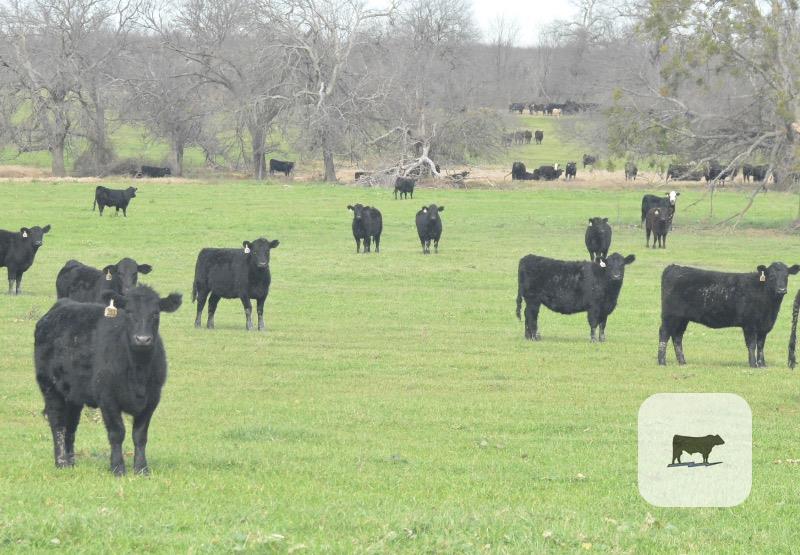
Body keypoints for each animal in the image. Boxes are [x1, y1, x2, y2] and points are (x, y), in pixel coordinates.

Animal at [34, 286, 182, 474]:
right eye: (129, 312)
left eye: (155, 314)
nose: (142, 339)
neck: (138, 372)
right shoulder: (108, 399)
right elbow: (117, 433)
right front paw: (118, 467)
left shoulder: (152, 399)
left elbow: (140, 436)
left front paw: (142, 469)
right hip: (50, 387)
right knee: (58, 423)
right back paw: (61, 462)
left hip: (73, 393)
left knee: (71, 426)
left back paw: (71, 461)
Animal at [658, 262, 800, 367]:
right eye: (771, 276)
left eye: (786, 276)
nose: (781, 290)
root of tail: (674, 267)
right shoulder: (750, 325)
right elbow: (752, 344)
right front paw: (753, 364)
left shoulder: (764, 326)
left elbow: (760, 345)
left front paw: (762, 365)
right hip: (670, 316)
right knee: (664, 334)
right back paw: (662, 362)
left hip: (682, 319)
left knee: (677, 337)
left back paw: (682, 362)